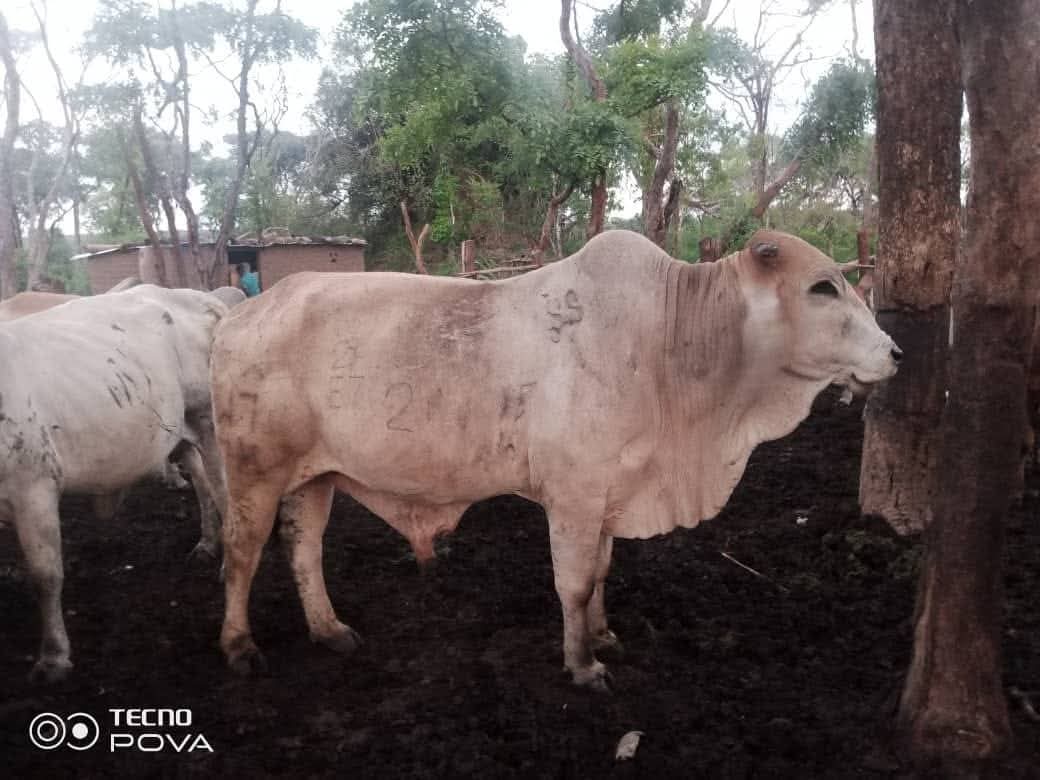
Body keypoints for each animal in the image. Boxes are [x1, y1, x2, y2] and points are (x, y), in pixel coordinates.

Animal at [0, 285, 230, 681]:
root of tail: (196, 296)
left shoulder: (32, 486)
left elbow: (45, 576)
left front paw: (54, 656)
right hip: (178, 433)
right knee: (201, 484)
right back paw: (206, 543)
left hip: (208, 421)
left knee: (223, 490)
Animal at [211, 229, 902, 689]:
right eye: (822, 287)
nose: (895, 352)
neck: (674, 341)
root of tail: (245, 311)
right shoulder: (573, 495)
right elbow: (573, 582)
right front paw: (581, 664)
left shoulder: (609, 494)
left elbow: (600, 573)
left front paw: (604, 636)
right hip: (254, 470)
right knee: (241, 553)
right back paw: (239, 645)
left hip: (315, 476)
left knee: (304, 549)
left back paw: (330, 630)